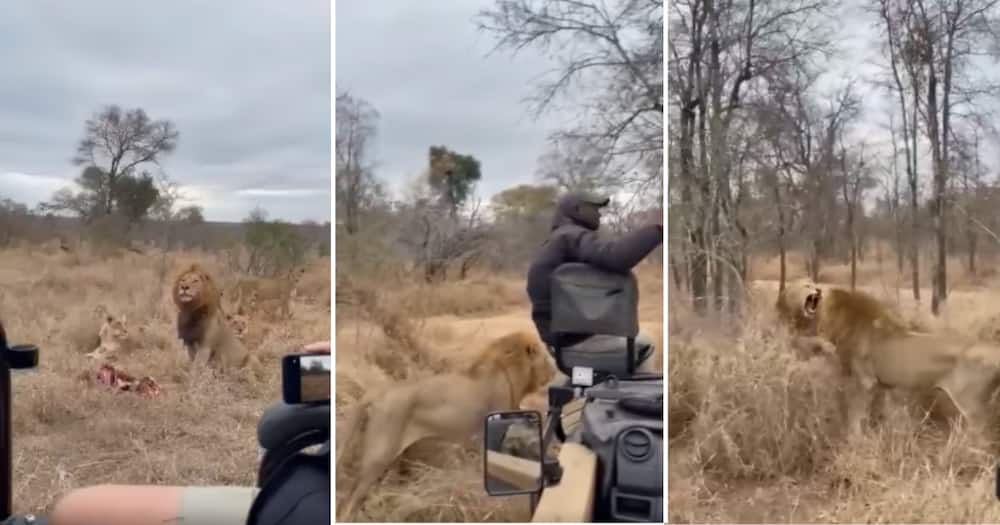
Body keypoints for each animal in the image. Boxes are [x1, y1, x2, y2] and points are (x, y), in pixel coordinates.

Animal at [776, 278, 1000, 442]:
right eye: (804, 285)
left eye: (811, 283)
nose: (817, 289)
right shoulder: (880, 385)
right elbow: (877, 412)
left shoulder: (864, 381)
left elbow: (854, 414)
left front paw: (854, 439)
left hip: (971, 403)